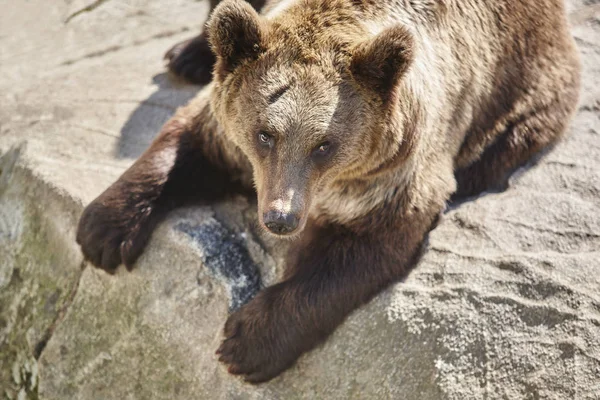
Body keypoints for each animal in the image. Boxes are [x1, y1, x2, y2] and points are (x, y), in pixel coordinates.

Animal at [76, 0, 580, 382]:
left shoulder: (394, 174)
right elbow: (186, 143)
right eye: (265, 133)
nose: (280, 217)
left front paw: (245, 341)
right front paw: (102, 231)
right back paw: (189, 53)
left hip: (524, 88)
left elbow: (352, 254)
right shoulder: (231, 133)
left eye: (324, 144)